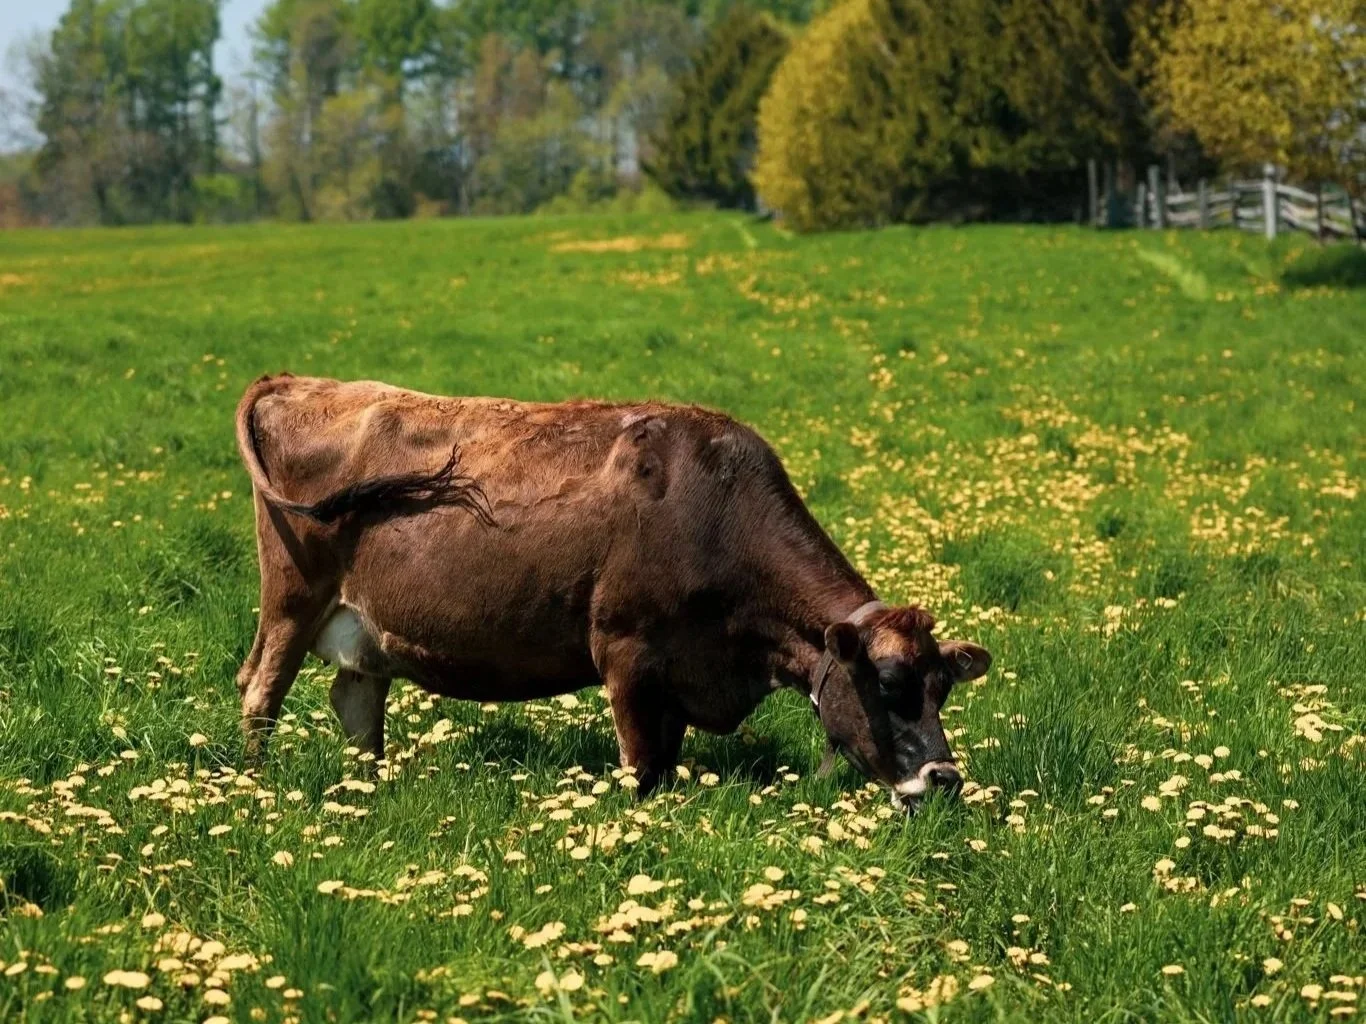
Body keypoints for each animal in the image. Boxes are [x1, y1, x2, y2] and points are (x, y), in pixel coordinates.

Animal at [233, 375, 992, 811]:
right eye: (888, 685)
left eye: (942, 688)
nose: (945, 779)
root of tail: (296, 381)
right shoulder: (627, 654)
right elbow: (641, 769)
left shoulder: (680, 676)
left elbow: (668, 759)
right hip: (292, 599)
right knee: (260, 691)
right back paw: (255, 786)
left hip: (361, 631)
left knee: (356, 703)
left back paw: (368, 788)